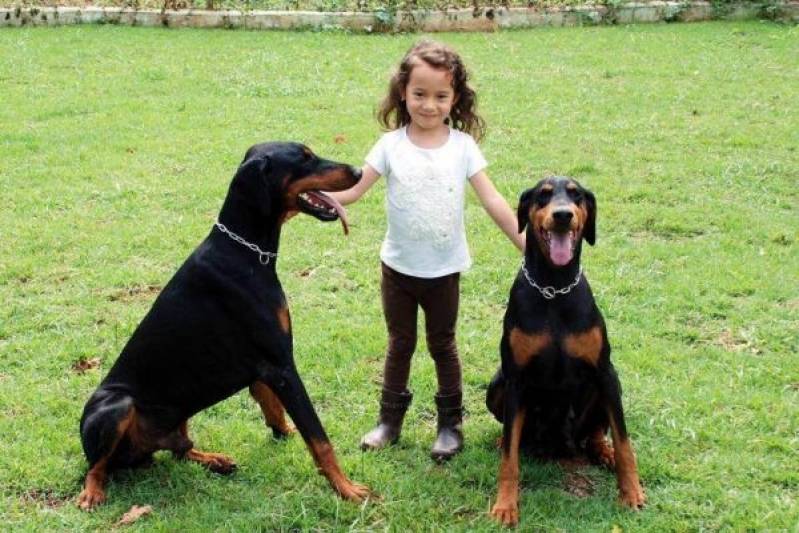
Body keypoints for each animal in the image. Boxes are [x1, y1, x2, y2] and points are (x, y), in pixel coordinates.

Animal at [78, 143, 372, 510]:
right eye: (304, 158)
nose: (359, 172)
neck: (246, 251)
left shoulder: (263, 367)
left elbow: (274, 410)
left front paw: (285, 434)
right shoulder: (281, 365)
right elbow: (318, 437)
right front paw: (346, 488)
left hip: (180, 408)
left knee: (179, 450)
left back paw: (214, 460)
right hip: (116, 406)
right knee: (96, 465)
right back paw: (92, 492)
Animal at [484, 178, 648, 524]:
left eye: (576, 195)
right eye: (543, 195)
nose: (562, 215)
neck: (554, 288)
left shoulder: (605, 372)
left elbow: (624, 441)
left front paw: (631, 492)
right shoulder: (515, 380)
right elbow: (509, 458)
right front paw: (505, 506)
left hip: (608, 387)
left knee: (597, 433)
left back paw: (603, 451)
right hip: (496, 386)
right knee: (514, 435)